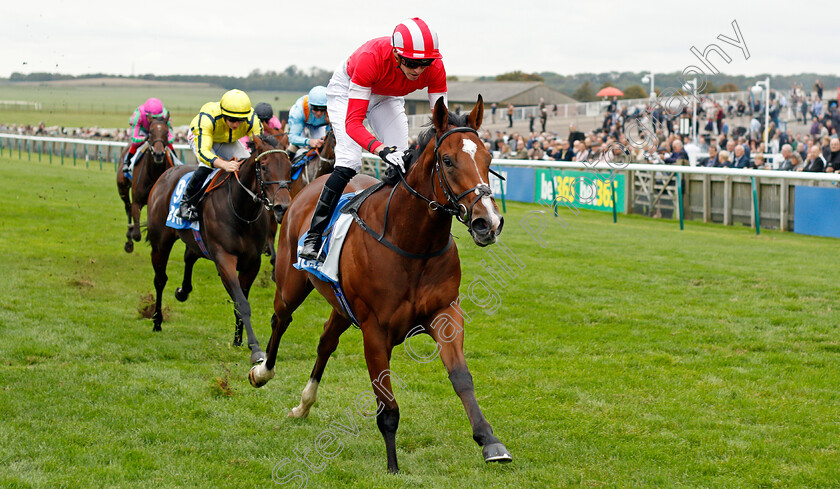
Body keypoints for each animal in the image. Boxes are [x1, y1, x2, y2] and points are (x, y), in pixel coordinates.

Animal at [116, 120, 172, 254]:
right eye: (150, 132)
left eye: (166, 132)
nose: (158, 154)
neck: (154, 173)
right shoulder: (137, 202)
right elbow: (137, 234)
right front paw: (133, 234)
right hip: (122, 188)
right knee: (128, 207)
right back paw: (129, 239)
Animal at [143, 133, 290, 362]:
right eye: (264, 167)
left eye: (290, 166)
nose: (283, 207)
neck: (241, 209)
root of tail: (166, 173)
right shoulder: (224, 258)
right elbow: (242, 302)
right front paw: (255, 348)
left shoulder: (252, 262)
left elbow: (241, 301)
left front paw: (238, 340)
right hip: (160, 243)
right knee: (160, 280)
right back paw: (157, 320)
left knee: (189, 256)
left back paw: (182, 291)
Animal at [249, 97, 512, 470]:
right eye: (448, 160)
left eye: (488, 159)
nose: (487, 222)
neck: (413, 243)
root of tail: (310, 188)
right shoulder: (375, 330)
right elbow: (386, 403)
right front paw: (392, 466)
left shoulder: (445, 313)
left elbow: (462, 378)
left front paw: (490, 441)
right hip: (291, 285)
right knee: (280, 320)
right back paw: (262, 372)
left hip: (342, 306)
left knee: (325, 342)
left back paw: (304, 404)